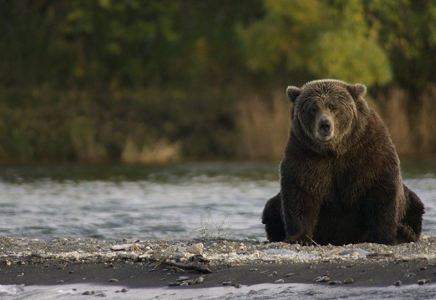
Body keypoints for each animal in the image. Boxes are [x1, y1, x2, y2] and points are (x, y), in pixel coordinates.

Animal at [262, 79, 422, 246]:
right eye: (313, 108)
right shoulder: (303, 154)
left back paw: (404, 232)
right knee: (270, 209)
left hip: (410, 202)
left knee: (415, 205)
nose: (325, 125)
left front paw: (384, 237)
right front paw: (299, 238)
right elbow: (300, 193)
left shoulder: (369, 151)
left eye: (334, 107)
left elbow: (381, 192)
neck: (334, 150)